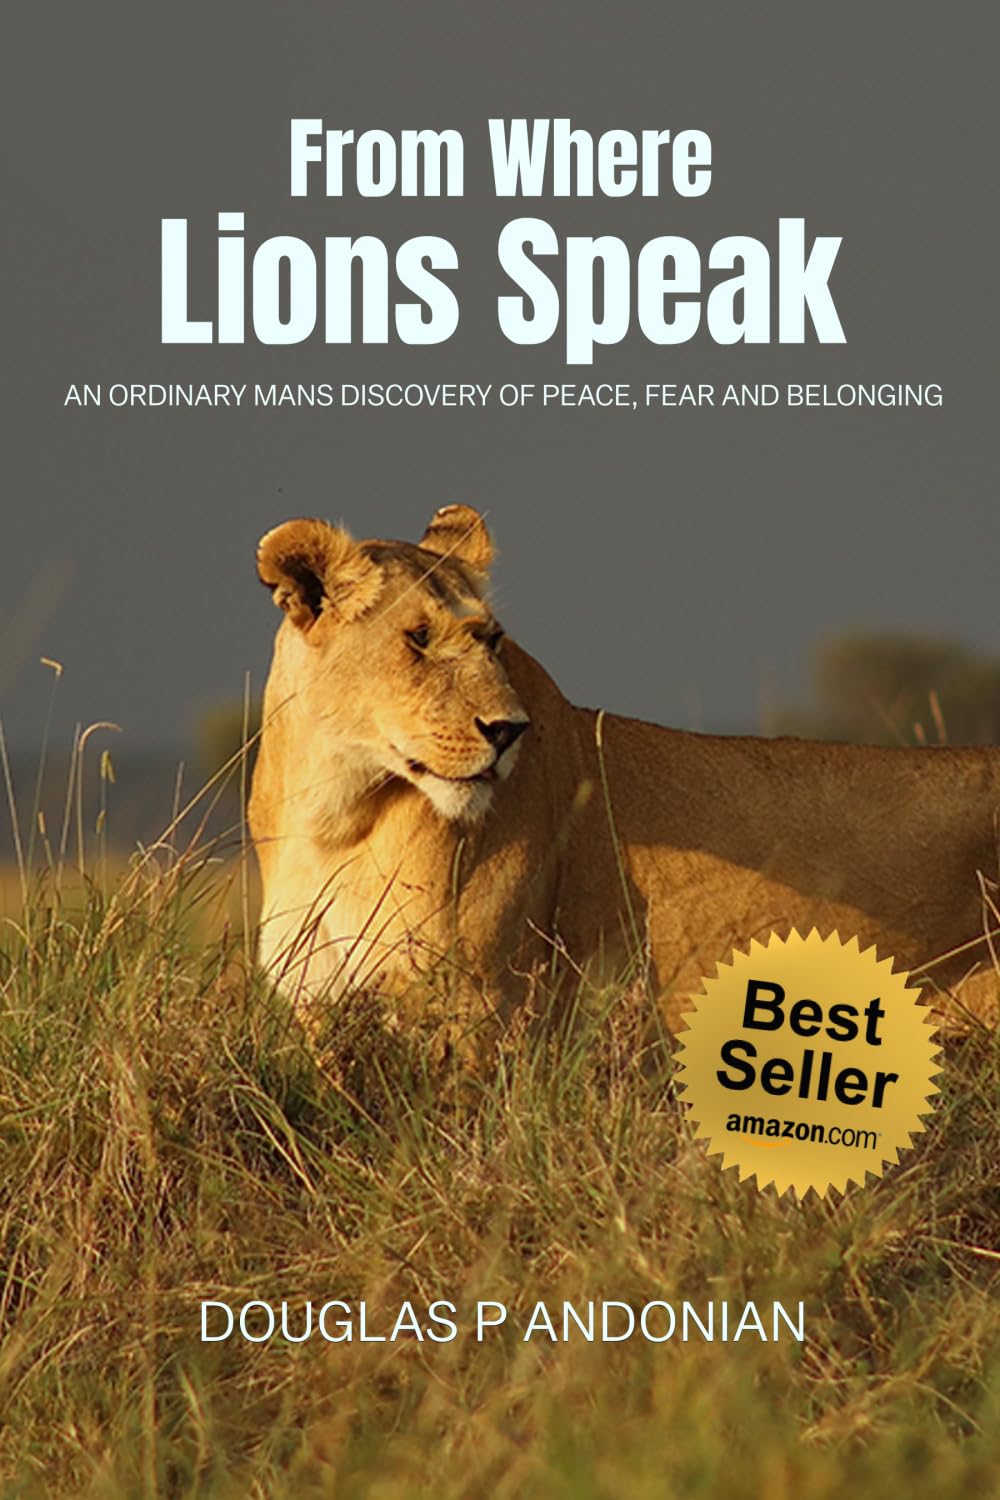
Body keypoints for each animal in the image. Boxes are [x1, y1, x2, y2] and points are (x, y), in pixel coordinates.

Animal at [249, 504, 1000, 1032]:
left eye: (492, 639)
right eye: (419, 638)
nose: (508, 730)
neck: (334, 810)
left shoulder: (478, 1000)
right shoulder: (312, 998)